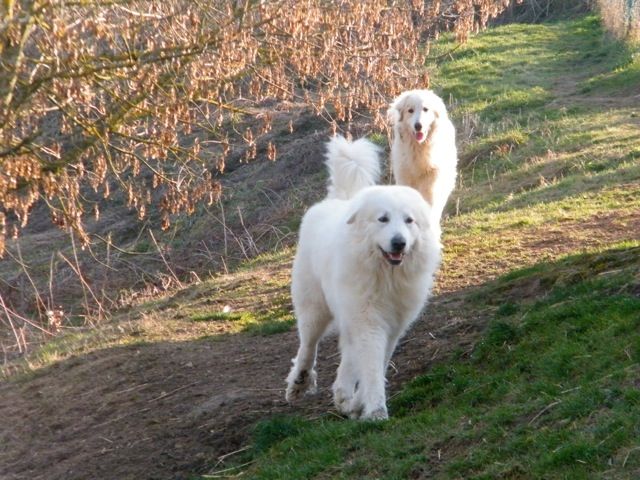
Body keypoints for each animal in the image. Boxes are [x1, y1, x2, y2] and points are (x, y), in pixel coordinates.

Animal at [284, 135, 440, 420]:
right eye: (383, 219)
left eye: (409, 220)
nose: (399, 243)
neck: (386, 276)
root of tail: (340, 200)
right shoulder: (368, 320)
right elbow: (371, 365)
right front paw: (376, 409)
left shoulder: (394, 324)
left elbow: (376, 363)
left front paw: (360, 403)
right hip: (315, 309)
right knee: (307, 347)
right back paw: (299, 382)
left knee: (346, 360)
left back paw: (344, 398)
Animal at [388, 90, 458, 232]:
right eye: (410, 110)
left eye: (425, 109)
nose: (418, 126)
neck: (418, 148)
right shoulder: (405, 177)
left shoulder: (432, 181)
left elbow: (430, 204)